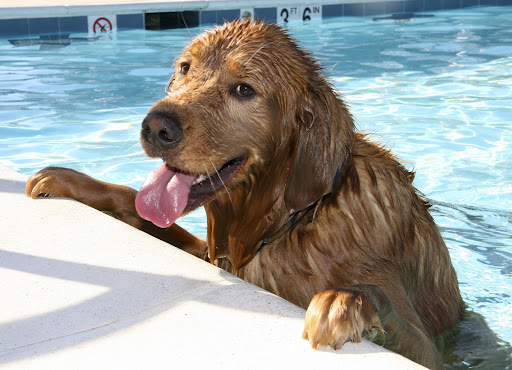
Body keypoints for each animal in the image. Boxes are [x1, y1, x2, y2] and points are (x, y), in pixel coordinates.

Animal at [27, 21, 468, 370]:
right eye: (185, 68)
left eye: (244, 89)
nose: (156, 126)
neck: (293, 220)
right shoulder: (209, 253)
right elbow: (134, 202)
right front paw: (72, 181)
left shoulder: (430, 351)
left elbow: (388, 311)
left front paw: (344, 301)